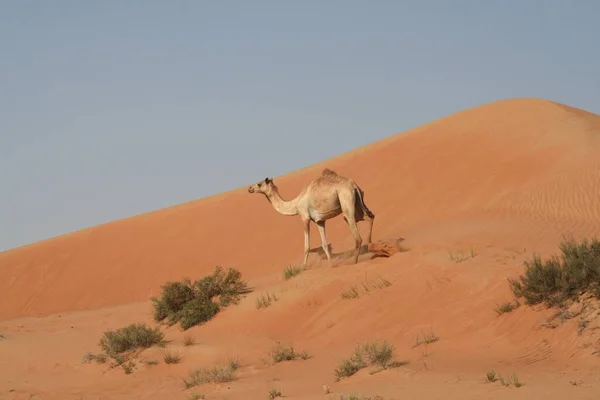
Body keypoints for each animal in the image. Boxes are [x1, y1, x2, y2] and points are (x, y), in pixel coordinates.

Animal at [248, 168, 376, 266]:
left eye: (259, 184)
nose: (249, 188)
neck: (295, 204)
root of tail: (354, 185)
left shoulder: (305, 218)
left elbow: (306, 246)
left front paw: (303, 267)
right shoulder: (319, 221)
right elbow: (324, 244)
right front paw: (331, 264)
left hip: (346, 201)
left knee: (357, 234)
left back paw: (354, 261)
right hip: (358, 204)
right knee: (370, 217)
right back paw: (370, 243)